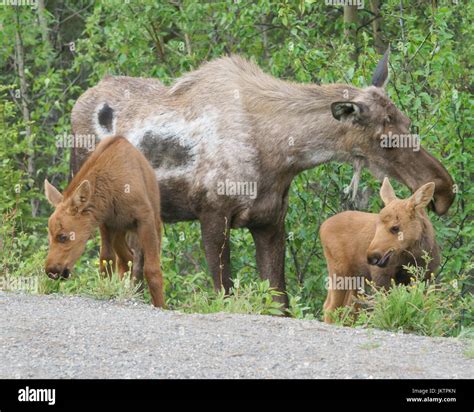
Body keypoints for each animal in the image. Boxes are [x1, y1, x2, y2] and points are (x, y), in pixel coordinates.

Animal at [45, 135, 165, 306]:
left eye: (63, 237)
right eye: (49, 237)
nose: (51, 271)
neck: (111, 195)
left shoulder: (145, 218)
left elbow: (152, 269)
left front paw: (161, 306)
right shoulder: (105, 223)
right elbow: (106, 262)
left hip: (154, 221)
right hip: (120, 230)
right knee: (126, 259)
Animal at [71, 51, 456, 308]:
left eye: (407, 121)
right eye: (385, 139)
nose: (443, 190)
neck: (280, 156)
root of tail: (79, 102)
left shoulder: (270, 220)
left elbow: (279, 300)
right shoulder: (213, 215)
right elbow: (224, 292)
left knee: (133, 265)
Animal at [320, 179, 438, 324]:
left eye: (395, 227)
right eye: (376, 225)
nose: (371, 257)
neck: (413, 257)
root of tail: (322, 227)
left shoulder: (425, 278)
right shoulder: (381, 278)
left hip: (356, 278)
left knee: (347, 309)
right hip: (339, 272)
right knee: (331, 307)